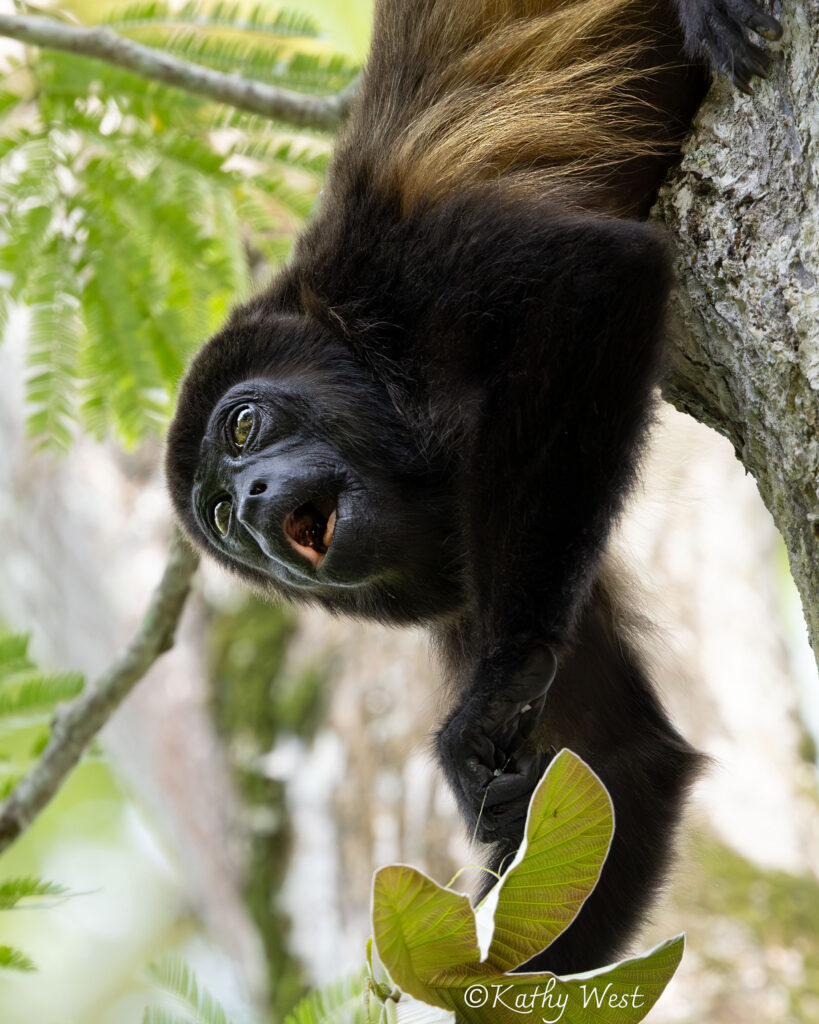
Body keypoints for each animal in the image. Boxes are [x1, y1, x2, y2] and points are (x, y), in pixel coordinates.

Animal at [166, 0, 783, 977]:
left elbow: (592, 278)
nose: (255, 504)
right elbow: (622, 761)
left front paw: (501, 676)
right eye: (219, 516)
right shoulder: (455, 580)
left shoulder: (408, 271)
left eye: (243, 428)